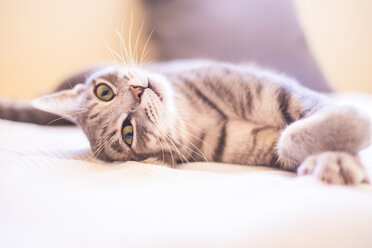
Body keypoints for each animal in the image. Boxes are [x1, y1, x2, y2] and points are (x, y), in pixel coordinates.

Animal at [0, 59, 370, 184]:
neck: (196, 115)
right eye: (128, 133)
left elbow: (308, 116)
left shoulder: (280, 89)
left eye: (103, 91)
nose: (138, 91)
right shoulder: (259, 144)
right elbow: (287, 140)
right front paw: (347, 141)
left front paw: (336, 155)